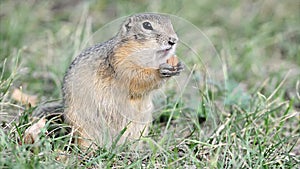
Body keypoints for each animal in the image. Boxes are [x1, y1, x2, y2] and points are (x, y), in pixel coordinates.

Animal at [61, 12, 183, 148]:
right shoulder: (120, 60)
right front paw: (161, 71)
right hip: (83, 128)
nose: (173, 40)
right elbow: (135, 78)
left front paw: (178, 66)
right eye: (147, 25)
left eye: (169, 22)